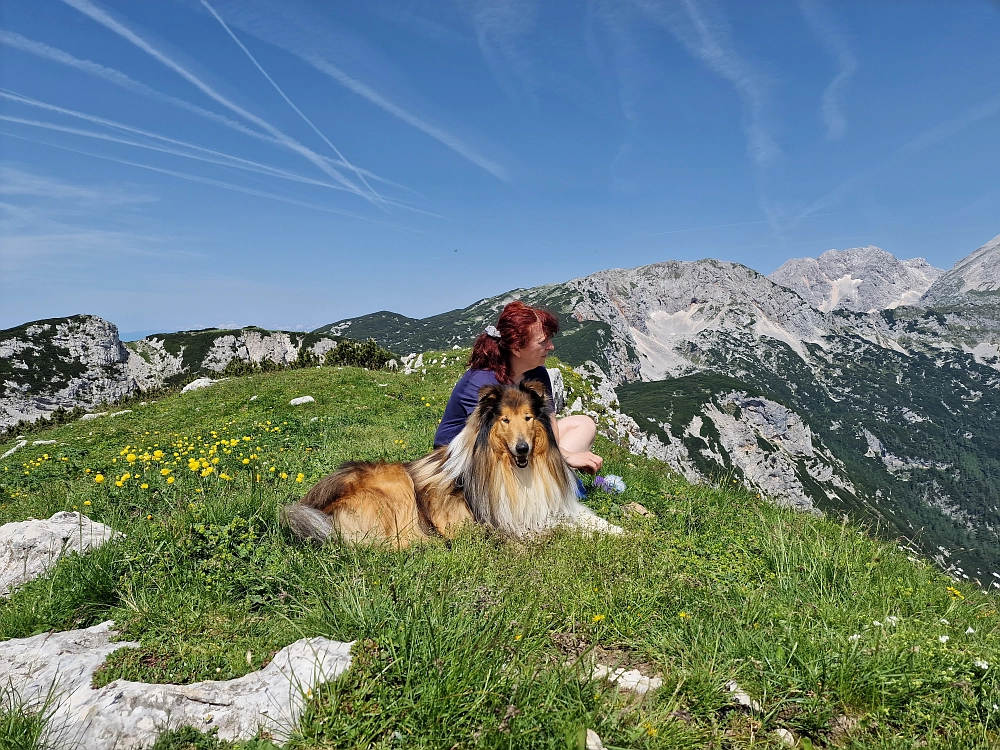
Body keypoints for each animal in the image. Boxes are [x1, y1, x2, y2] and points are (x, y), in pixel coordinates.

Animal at [282, 382, 620, 548]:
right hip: (397, 485)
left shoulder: (553, 506)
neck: (515, 472)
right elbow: (563, 528)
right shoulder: (510, 520)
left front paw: (620, 530)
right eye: (504, 420)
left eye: (528, 417)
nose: (522, 448)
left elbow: (588, 519)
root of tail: (314, 506)